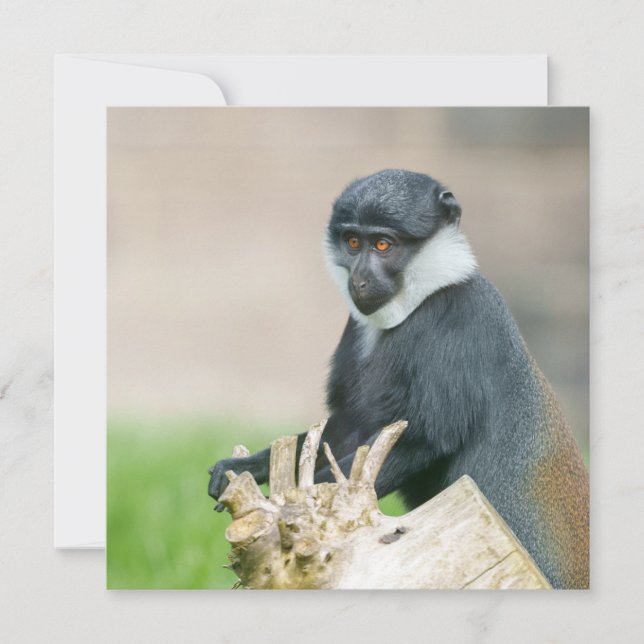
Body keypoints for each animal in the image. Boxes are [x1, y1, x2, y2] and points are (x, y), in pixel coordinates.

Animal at [208, 168, 589, 589]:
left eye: (383, 244)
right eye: (353, 242)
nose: (359, 279)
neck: (421, 299)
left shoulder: (461, 317)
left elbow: (426, 438)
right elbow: (346, 431)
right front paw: (246, 468)